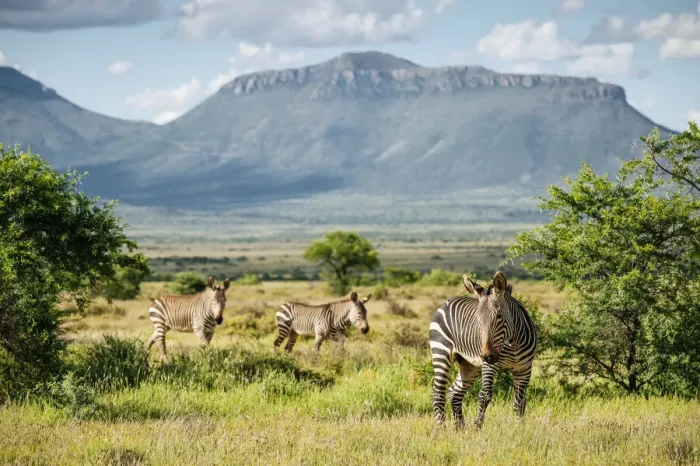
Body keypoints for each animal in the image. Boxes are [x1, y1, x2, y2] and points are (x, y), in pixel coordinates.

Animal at [429, 271, 537, 429]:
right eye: (478, 320)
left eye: (499, 316)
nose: (487, 356)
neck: (513, 344)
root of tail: (447, 302)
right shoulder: (490, 366)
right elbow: (484, 395)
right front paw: (477, 426)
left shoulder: (524, 369)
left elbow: (520, 401)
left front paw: (519, 428)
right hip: (441, 353)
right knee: (438, 393)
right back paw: (441, 429)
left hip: (469, 365)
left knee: (454, 392)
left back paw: (460, 429)